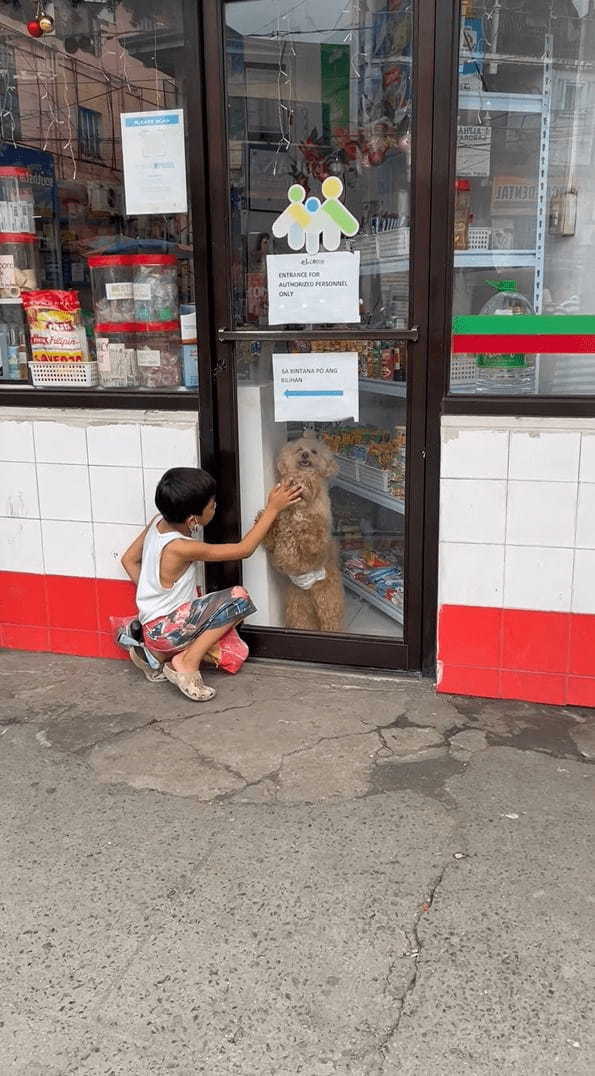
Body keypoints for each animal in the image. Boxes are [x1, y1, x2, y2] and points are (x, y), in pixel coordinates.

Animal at [262, 434, 346, 632]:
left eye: (314, 451)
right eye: (299, 450)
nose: (306, 455)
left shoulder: (319, 542)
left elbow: (313, 538)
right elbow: (275, 535)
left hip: (328, 605)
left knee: (332, 623)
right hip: (298, 606)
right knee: (302, 621)